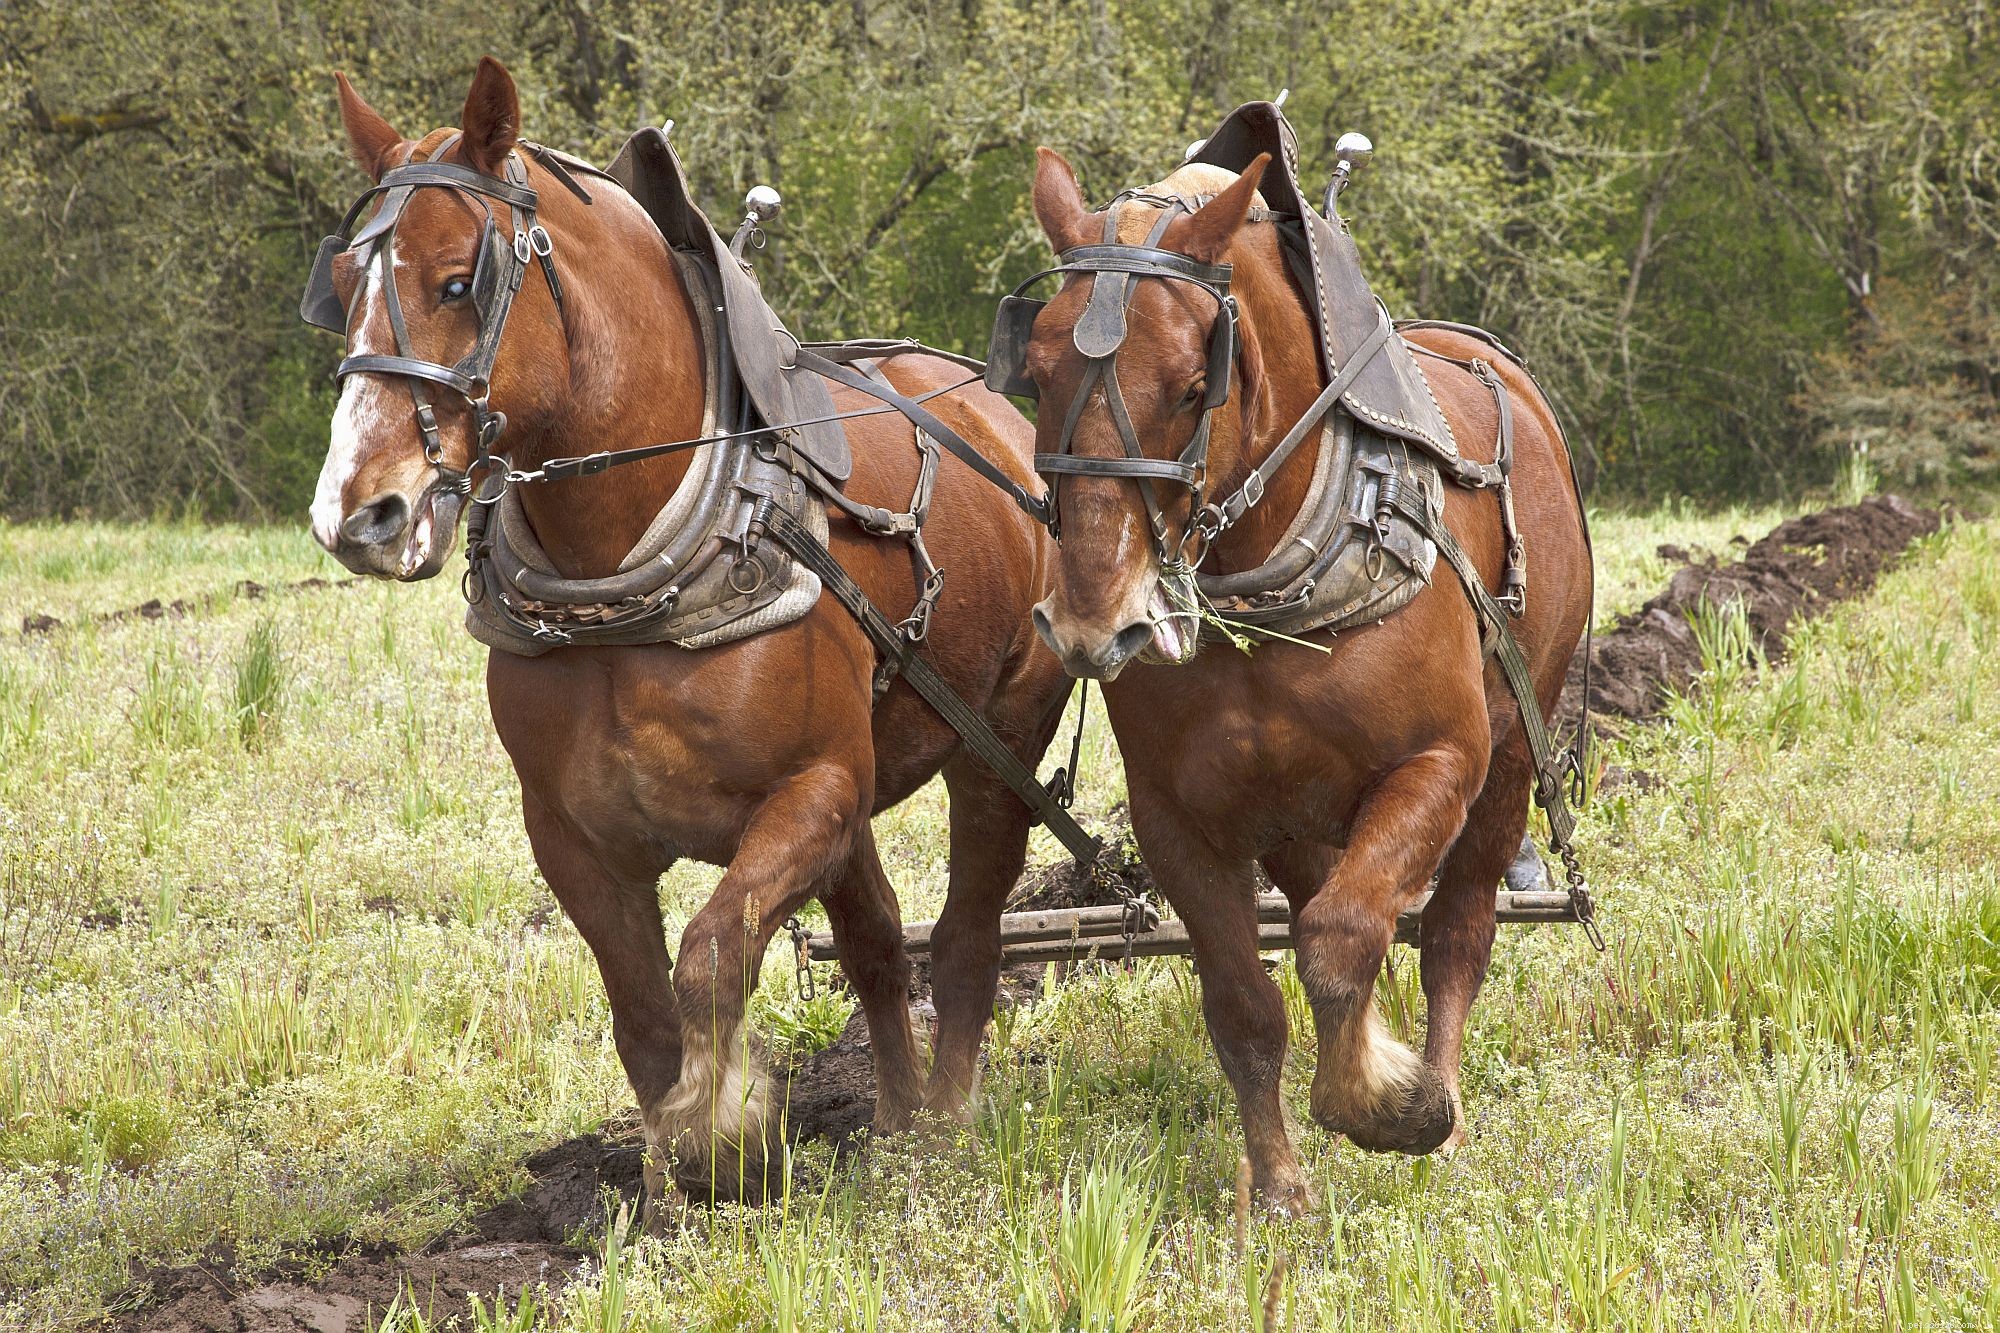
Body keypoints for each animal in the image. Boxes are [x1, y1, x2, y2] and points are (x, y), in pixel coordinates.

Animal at [307, 57, 1072, 1198]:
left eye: (456, 281)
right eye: (345, 286)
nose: (359, 513)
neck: (631, 576)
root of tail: (1003, 422)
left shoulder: (811, 793)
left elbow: (709, 956)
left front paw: (728, 1126)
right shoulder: (573, 836)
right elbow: (640, 1007)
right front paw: (676, 1159)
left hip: (1001, 744)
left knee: (970, 928)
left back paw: (941, 1118)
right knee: (880, 941)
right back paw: (893, 1117)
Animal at [1019, 147, 1592, 1214]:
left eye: (1191, 381)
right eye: (1032, 372)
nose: (1091, 622)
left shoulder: (1439, 764)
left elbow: (1344, 936)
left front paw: (1392, 1102)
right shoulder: (1179, 819)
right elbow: (1247, 999)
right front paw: (1279, 1183)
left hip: (1509, 759)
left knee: (1455, 930)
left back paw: (1441, 1095)